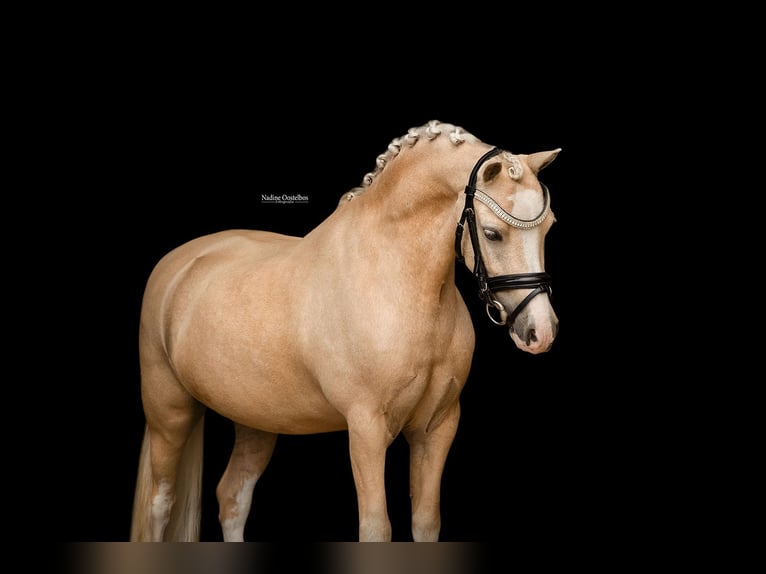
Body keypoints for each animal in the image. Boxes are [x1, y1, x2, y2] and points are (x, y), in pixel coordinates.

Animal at [129, 120, 560, 542]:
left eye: (549, 228)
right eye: (492, 233)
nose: (540, 331)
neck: (394, 279)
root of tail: (178, 263)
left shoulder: (437, 427)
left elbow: (426, 522)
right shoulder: (366, 429)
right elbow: (376, 528)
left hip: (255, 421)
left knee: (233, 497)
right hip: (168, 413)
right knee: (160, 504)